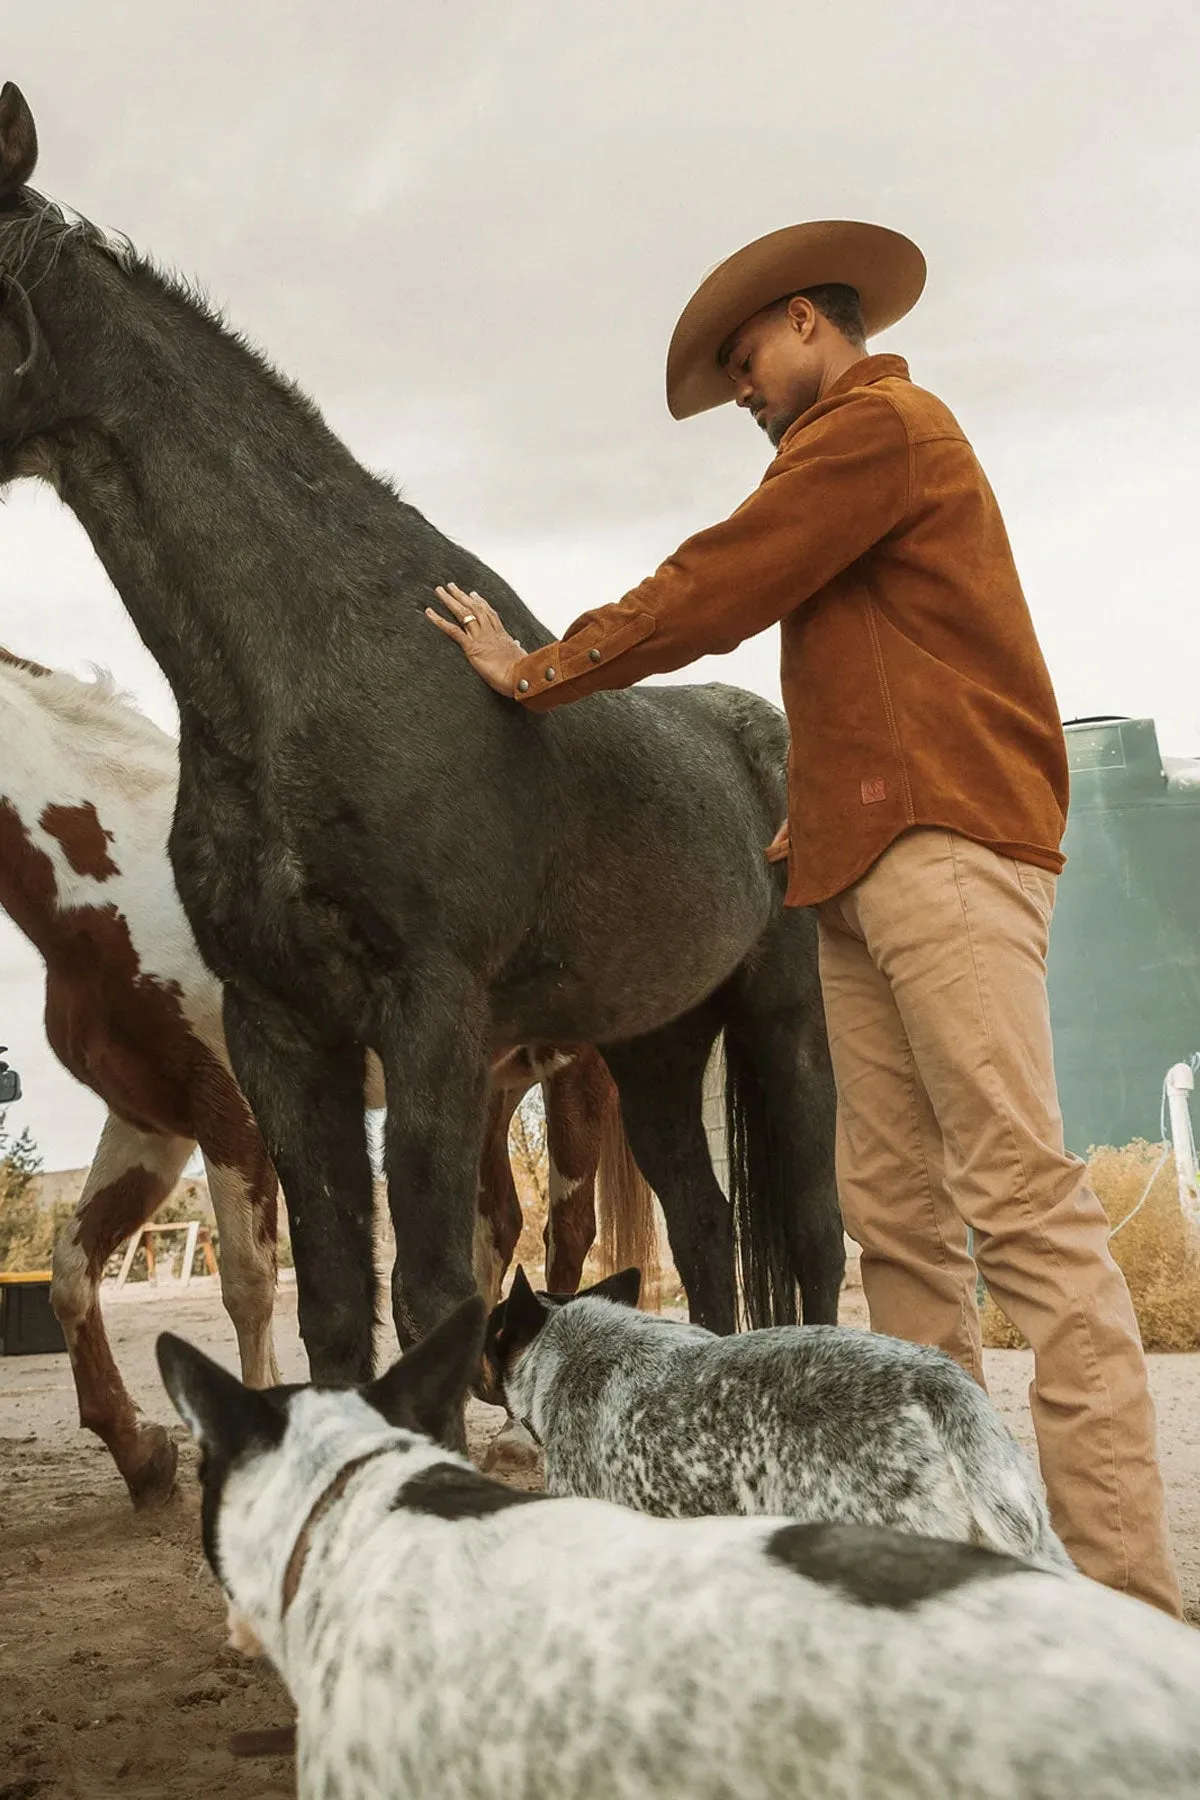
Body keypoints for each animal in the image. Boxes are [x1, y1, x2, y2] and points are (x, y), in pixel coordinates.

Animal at [0, 81, 841, 1404]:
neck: (314, 678)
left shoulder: (430, 1016)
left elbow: (437, 1294)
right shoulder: (282, 1037)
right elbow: (336, 1306)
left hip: (781, 1021)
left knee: (811, 1232)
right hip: (656, 1050)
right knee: (706, 1226)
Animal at [0, 648, 658, 1504]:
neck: (124, 886)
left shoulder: (232, 1114)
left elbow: (247, 1283)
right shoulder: (150, 1125)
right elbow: (72, 1274)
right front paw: (140, 1454)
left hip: (575, 1073)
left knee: (568, 1229)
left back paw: (518, 1433)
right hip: (486, 1085)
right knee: (500, 1221)